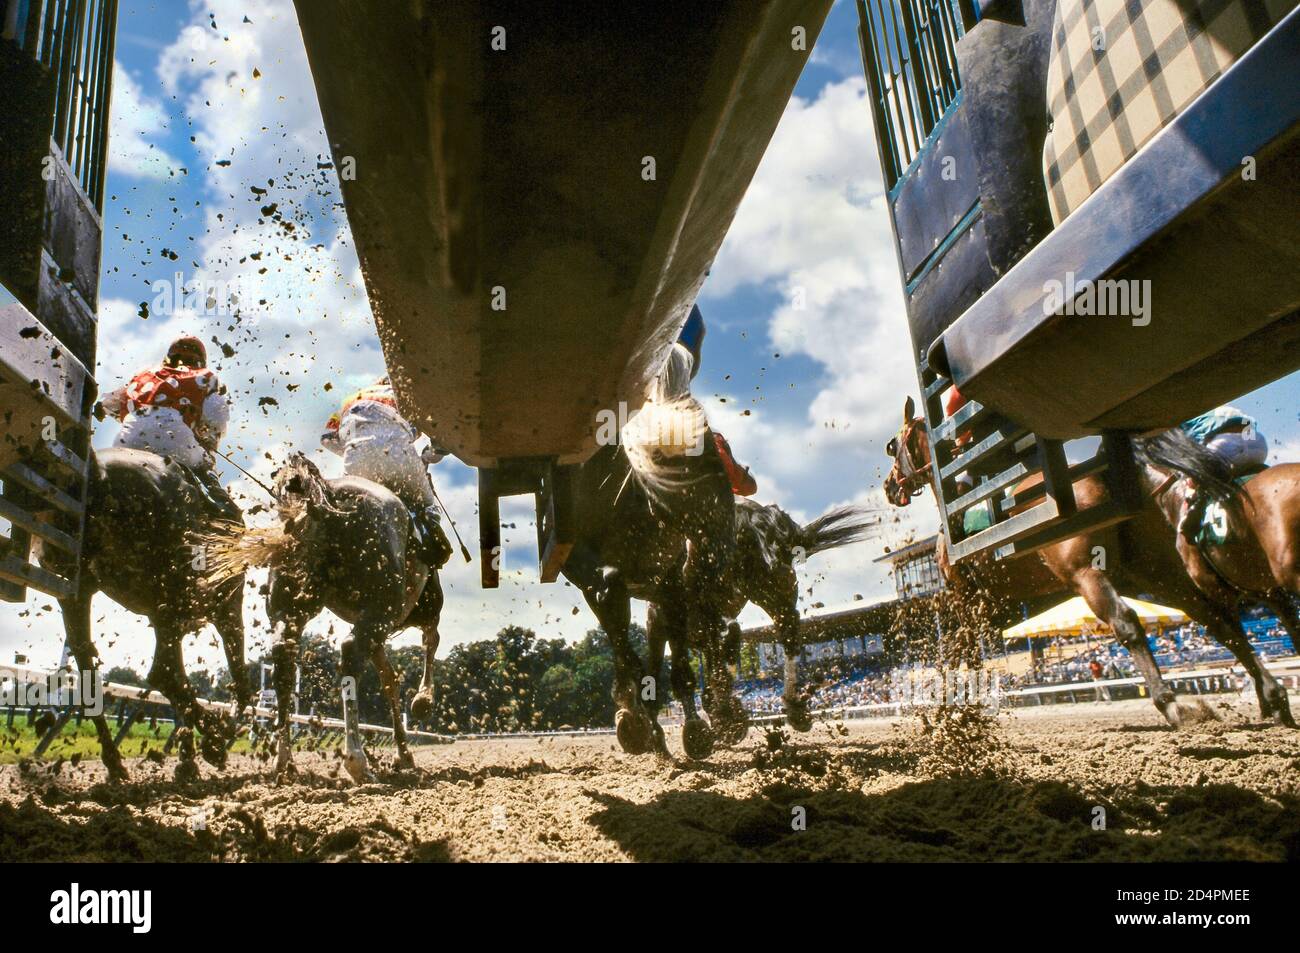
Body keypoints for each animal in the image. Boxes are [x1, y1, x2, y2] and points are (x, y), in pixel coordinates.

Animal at [883, 397, 1289, 722]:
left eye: (893, 446)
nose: (889, 486)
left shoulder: (966, 597)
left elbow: (964, 651)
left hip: (1086, 573)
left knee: (1127, 621)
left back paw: (1172, 703)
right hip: (1156, 574)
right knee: (1217, 619)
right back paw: (1271, 695)